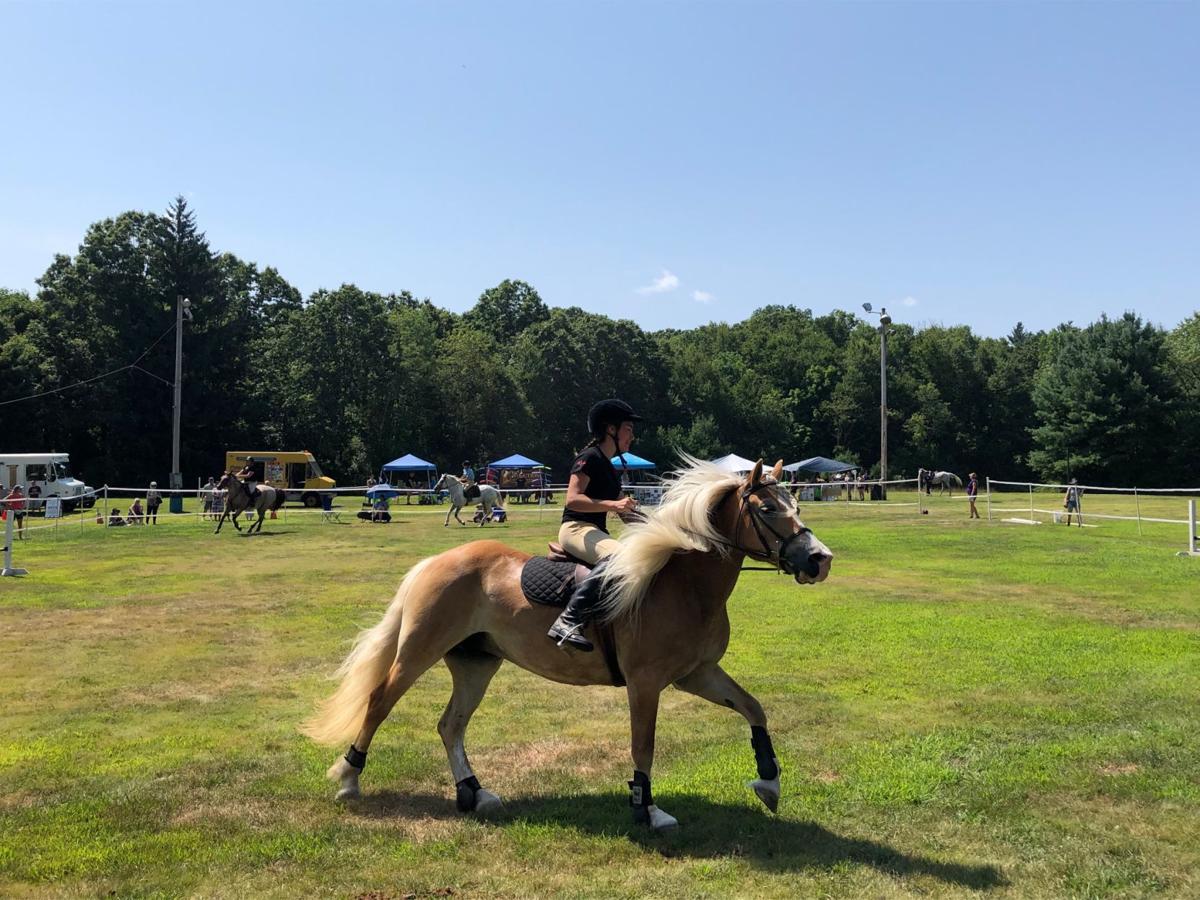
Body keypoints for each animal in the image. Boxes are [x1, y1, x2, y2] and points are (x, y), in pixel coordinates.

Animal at [302, 458, 833, 830]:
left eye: (798, 507)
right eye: (767, 509)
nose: (819, 560)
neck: (682, 582)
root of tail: (435, 562)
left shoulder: (695, 674)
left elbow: (754, 708)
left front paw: (769, 782)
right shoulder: (646, 683)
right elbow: (643, 745)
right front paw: (647, 810)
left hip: (476, 663)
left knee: (450, 725)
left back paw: (475, 793)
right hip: (419, 650)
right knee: (379, 702)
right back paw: (348, 779)